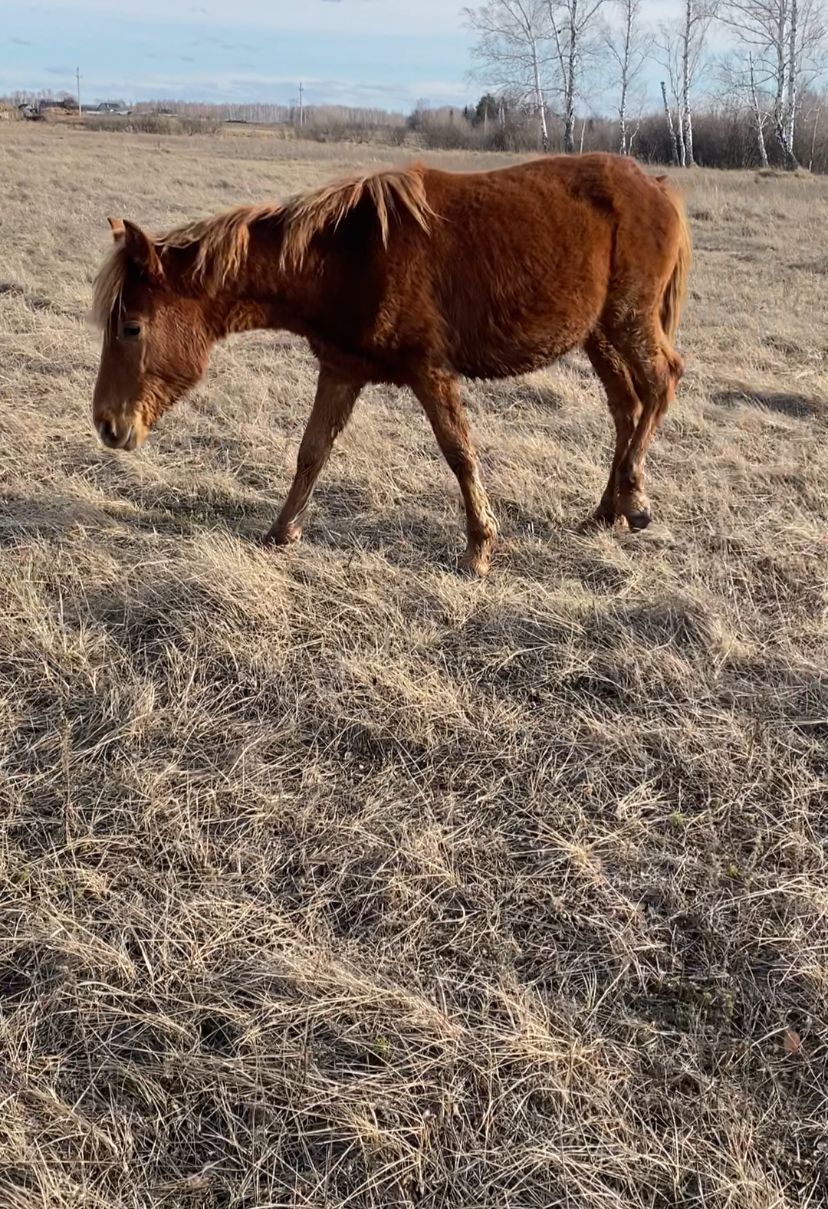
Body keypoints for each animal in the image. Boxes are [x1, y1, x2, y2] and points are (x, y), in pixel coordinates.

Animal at [90, 153, 686, 577]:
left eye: (131, 328)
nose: (108, 425)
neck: (344, 257)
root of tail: (657, 186)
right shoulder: (342, 370)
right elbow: (311, 452)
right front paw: (281, 533)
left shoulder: (430, 371)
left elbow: (458, 453)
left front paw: (479, 549)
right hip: (598, 335)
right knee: (626, 408)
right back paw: (606, 511)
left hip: (628, 320)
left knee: (661, 385)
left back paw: (635, 498)